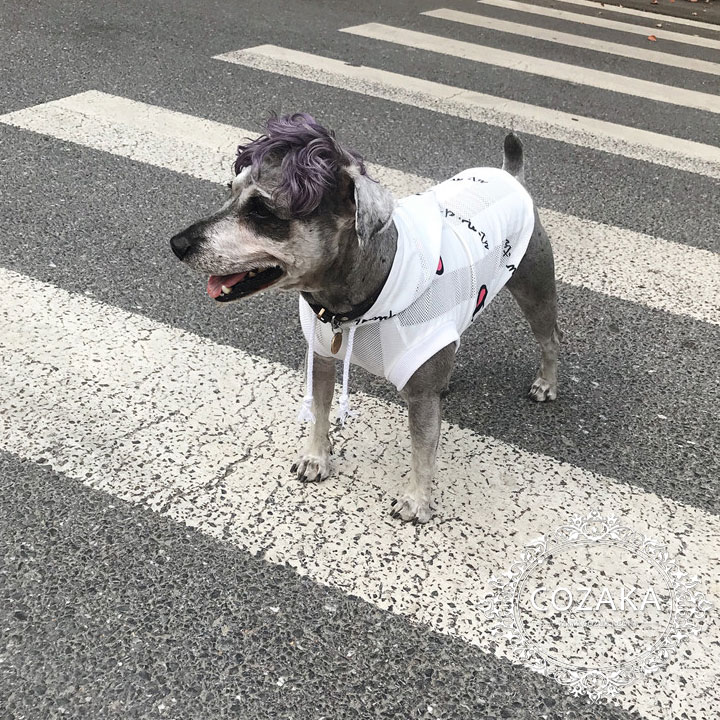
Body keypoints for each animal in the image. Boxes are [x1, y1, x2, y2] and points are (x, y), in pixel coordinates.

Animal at [170, 115, 564, 524]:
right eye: (229, 190)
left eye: (262, 211)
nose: (177, 244)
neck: (356, 302)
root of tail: (510, 175)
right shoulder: (322, 359)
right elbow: (321, 411)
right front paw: (316, 457)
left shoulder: (420, 399)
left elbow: (423, 448)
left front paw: (417, 500)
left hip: (534, 286)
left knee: (551, 336)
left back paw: (546, 383)